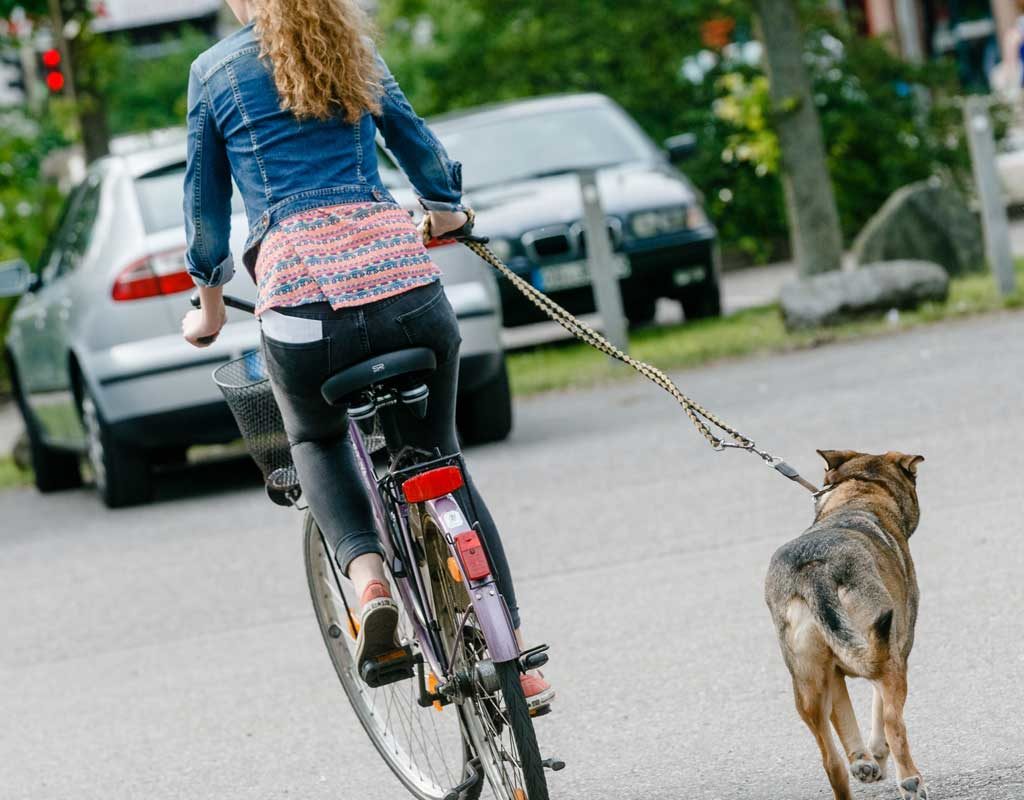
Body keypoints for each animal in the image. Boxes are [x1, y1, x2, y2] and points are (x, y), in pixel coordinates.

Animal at [765, 448, 933, 798]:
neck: (859, 495)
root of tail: (815, 568)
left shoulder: (832, 673)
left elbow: (844, 718)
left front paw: (864, 762)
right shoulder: (896, 653)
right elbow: (879, 715)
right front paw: (877, 757)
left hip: (807, 685)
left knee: (831, 763)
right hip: (887, 660)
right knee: (894, 723)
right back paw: (911, 781)